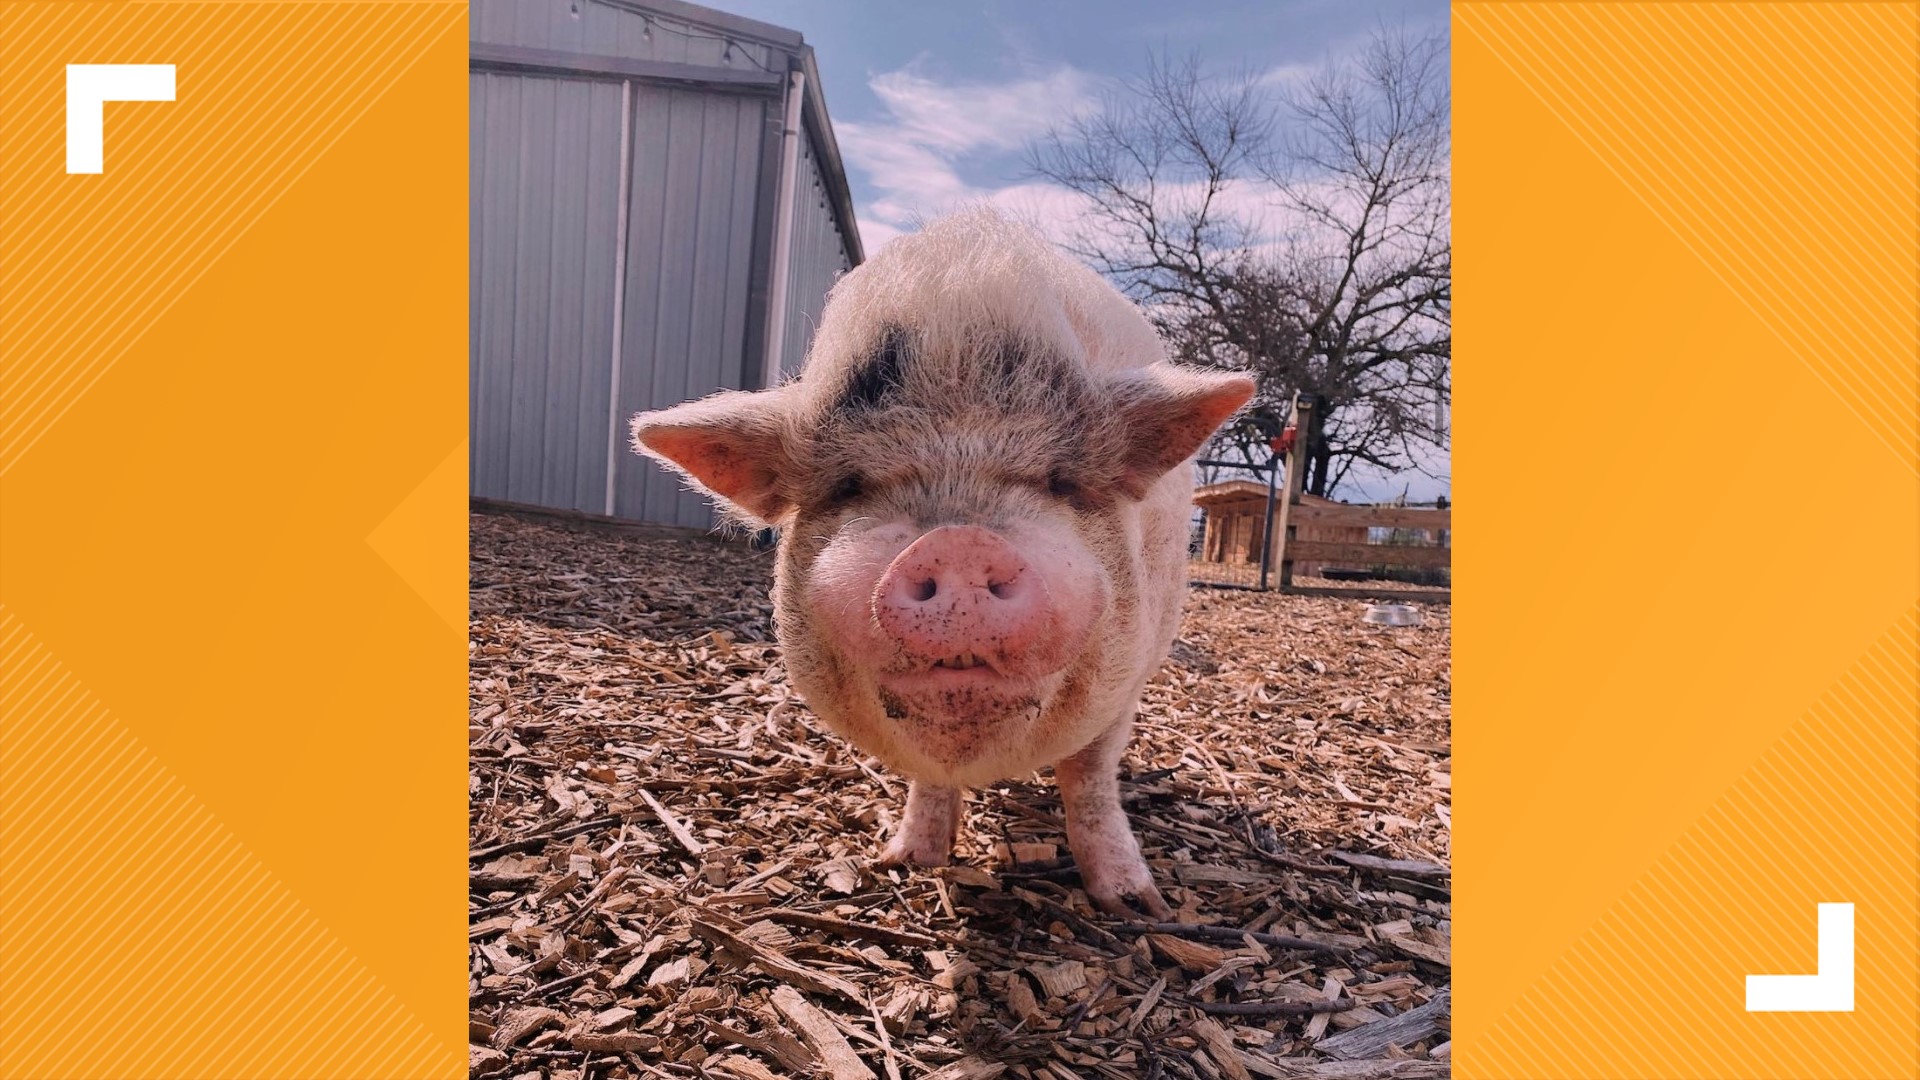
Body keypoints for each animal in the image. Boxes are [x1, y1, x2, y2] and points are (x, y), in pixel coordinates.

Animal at [630, 208, 1252, 918]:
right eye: (850, 484)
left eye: (1060, 481)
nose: (958, 544)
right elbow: (926, 780)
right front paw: (904, 862)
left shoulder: (1131, 672)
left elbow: (1089, 775)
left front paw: (1135, 905)